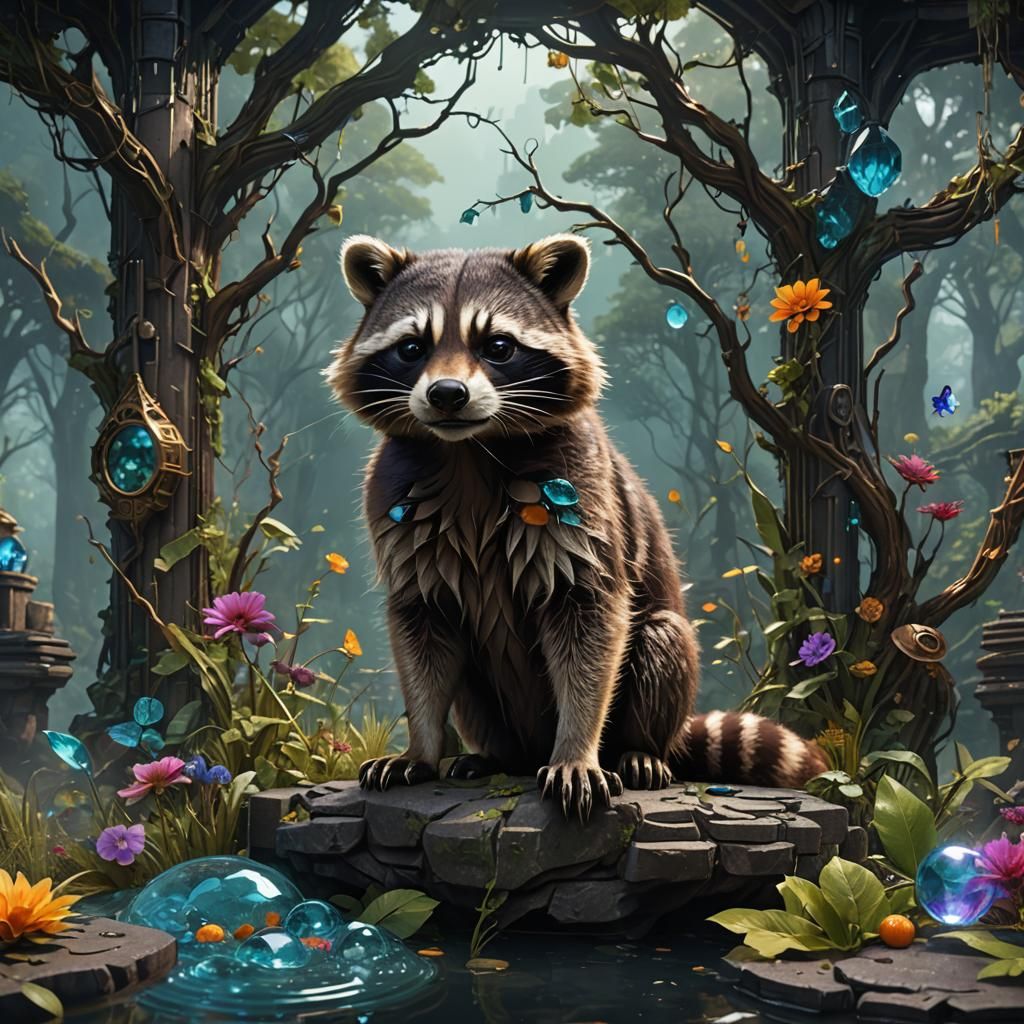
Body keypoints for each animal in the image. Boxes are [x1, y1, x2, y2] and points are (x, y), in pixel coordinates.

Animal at [327, 233, 826, 820]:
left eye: (498, 346)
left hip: (662, 662)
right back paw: (493, 755)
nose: (447, 394)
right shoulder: (397, 508)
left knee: (662, 638)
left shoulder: (581, 497)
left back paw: (637, 750)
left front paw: (576, 752)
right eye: (411, 348)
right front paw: (421, 748)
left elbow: (591, 629)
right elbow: (420, 631)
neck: (469, 452)